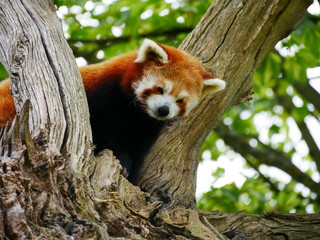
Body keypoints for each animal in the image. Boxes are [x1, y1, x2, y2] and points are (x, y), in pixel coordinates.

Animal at [0, 39, 225, 182]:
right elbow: (97, 132)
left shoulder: (147, 126)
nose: (163, 110)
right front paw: (121, 157)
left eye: (180, 101)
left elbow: (138, 150)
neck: (135, 113)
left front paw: (132, 174)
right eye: (161, 89)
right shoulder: (102, 94)